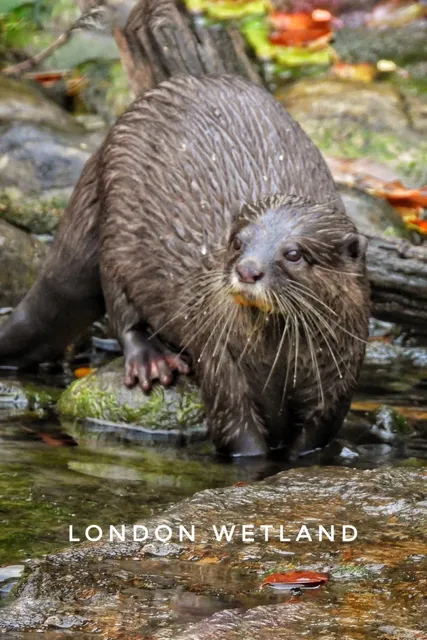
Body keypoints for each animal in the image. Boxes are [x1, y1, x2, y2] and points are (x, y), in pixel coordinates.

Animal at [0, 74, 370, 457]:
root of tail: (104, 145)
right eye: (238, 242)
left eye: (293, 253)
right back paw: (151, 360)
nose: (247, 269)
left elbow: (313, 441)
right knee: (120, 306)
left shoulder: (337, 383)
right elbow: (237, 432)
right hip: (116, 229)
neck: (277, 366)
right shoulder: (220, 361)